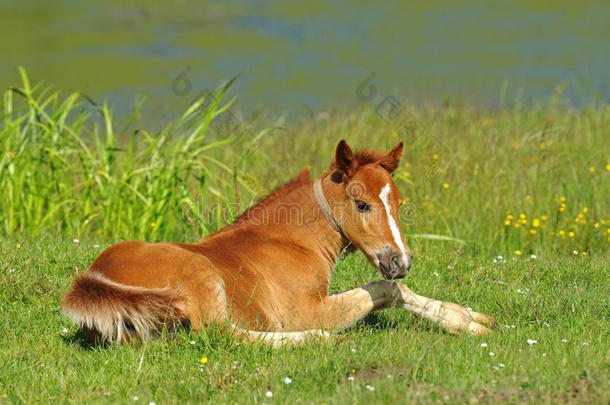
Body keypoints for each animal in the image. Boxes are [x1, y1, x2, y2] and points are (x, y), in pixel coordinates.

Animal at [63, 140, 494, 344]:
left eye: (400, 203)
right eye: (362, 203)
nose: (400, 261)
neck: (294, 241)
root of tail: (95, 282)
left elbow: (396, 291)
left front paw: (472, 319)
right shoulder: (311, 310)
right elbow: (384, 290)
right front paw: (467, 323)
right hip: (202, 277)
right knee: (222, 335)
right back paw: (316, 340)